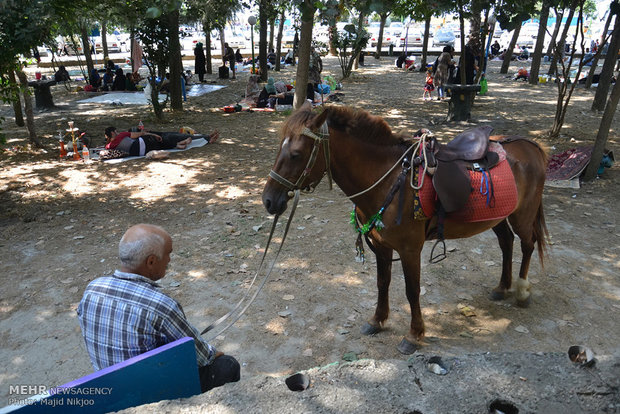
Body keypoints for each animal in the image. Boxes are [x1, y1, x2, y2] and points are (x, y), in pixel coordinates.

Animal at [262, 103, 548, 352]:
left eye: (296, 155)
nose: (268, 200)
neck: (387, 179)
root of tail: (529, 144)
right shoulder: (381, 246)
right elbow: (382, 282)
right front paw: (377, 320)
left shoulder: (410, 250)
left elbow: (412, 291)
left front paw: (414, 335)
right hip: (496, 217)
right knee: (506, 242)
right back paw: (502, 287)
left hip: (522, 214)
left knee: (527, 244)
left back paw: (522, 291)